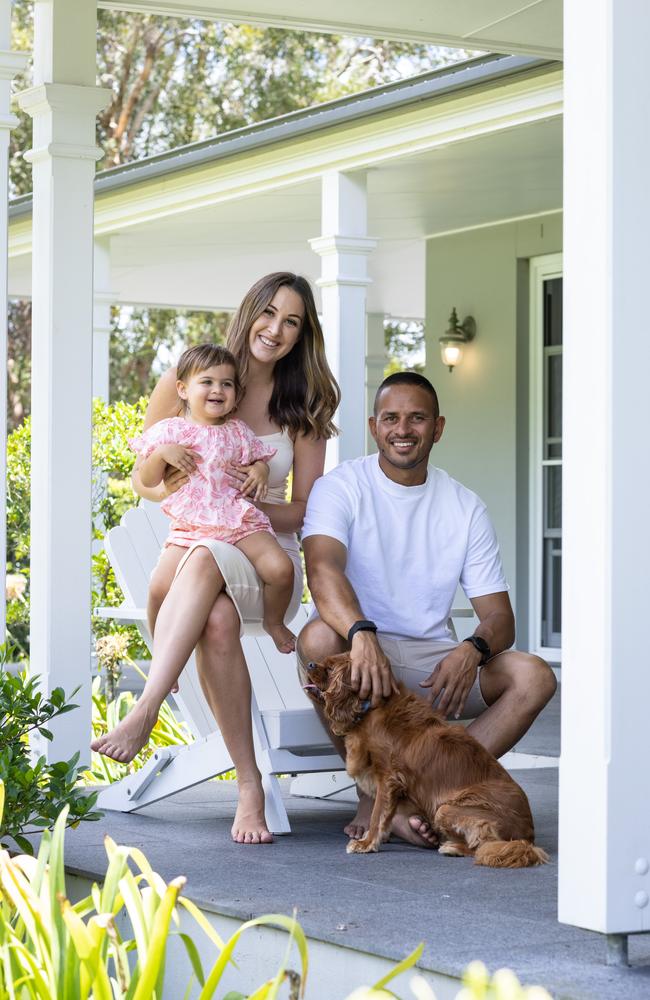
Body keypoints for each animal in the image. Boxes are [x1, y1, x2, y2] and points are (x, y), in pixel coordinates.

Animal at [304, 652, 548, 864]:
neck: (369, 707)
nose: (309, 664)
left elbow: (377, 814)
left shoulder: (388, 778)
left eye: (330, 669)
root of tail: (527, 837)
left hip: (447, 809)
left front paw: (366, 843)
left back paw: (453, 847)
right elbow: (385, 816)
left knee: (485, 844)